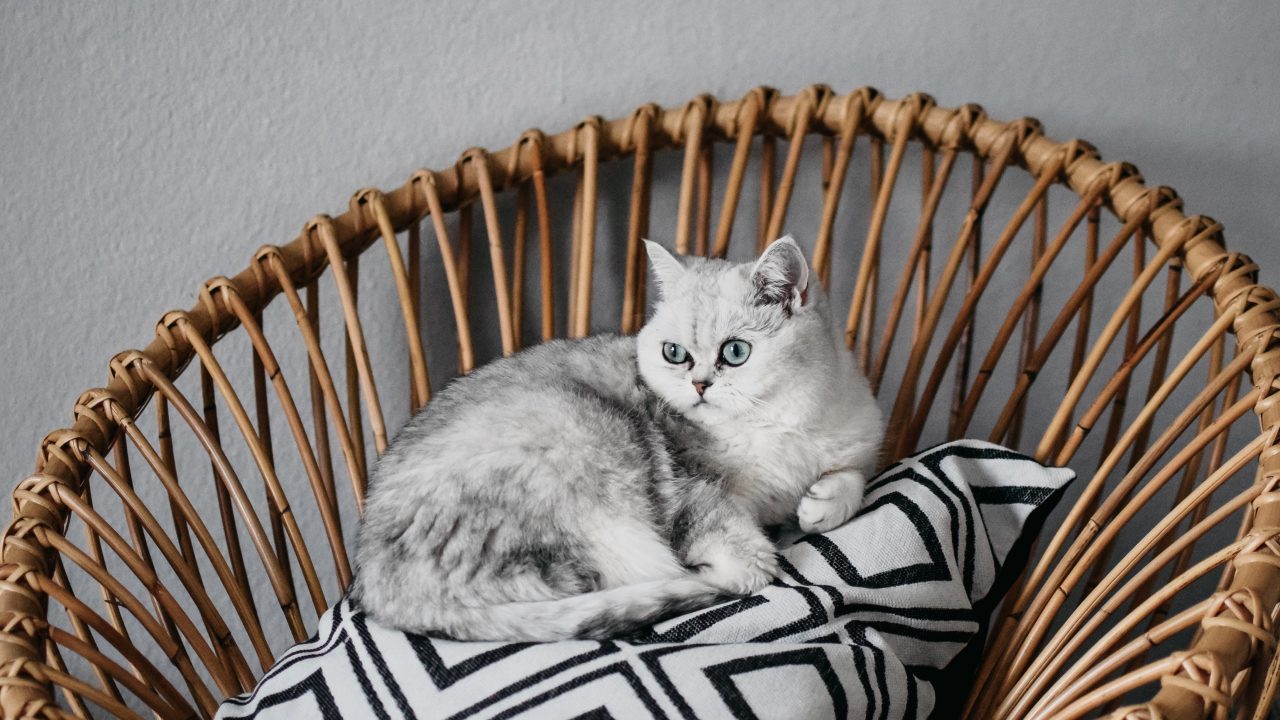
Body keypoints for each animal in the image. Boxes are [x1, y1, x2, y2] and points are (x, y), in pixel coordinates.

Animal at [355, 235, 885, 638]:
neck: (780, 424)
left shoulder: (860, 437)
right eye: (674, 353)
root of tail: (374, 585)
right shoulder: (689, 485)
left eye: (735, 352)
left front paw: (822, 505)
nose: (699, 385)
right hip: (585, 445)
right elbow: (737, 546)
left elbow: (853, 477)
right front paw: (749, 556)